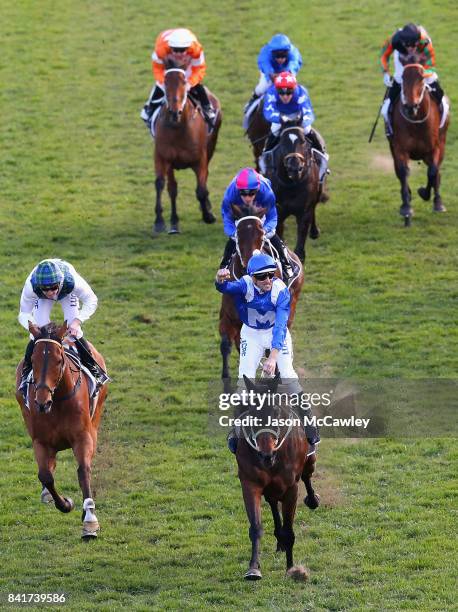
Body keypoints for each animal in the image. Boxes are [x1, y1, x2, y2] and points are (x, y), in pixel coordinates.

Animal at [14, 322, 108, 536]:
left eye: (58, 361)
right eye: (33, 359)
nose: (42, 402)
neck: (56, 402)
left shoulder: (83, 437)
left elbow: (83, 471)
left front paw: (89, 521)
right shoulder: (40, 441)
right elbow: (46, 476)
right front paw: (65, 503)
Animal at [153, 63, 223, 233]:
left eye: (184, 82)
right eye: (165, 81)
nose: (174, 111)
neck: (178, 127)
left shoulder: (200, 159)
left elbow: (201, 190)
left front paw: (208, 215)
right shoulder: (163, 157)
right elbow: (162, 185)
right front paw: (161, 221)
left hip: (211, 146)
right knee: (172, 187)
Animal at [219, 204, 304, 382]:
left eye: (261, 234)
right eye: (238, 234)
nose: (252, 263)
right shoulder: (227, 318)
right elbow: (226, 345)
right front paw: (226, 379)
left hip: (292, 304)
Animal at [236, 376, 318, 580]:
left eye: (275, 412)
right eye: (251, 412)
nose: (266, 455)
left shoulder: (291, 488)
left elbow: (289, 531)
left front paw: (291, 569)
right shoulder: (250, 484)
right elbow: (256, 527)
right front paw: (253, 568)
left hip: (309, 460)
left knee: (307, 476)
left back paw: (313, 499)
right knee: (273, 502)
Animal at [388, 63, 450, 226]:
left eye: (421, 79)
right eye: (403, 78)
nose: (411, 106)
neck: (416, 122)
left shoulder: (435, 147)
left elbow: (433, 172)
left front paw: (432, 199)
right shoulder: (399, 148)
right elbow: (403, 172)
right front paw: (406, 208)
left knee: (436, 171)